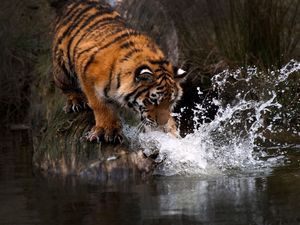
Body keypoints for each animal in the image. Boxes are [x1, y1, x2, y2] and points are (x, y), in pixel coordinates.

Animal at [52, 0, 186, 143]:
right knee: (65, 86)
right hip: (63, 68)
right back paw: (76, 101)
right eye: (152, 101)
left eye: (171, 101)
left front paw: (172, 131)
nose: (162, 123)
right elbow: (101, 106)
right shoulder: (87, 76)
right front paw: (107, 130)